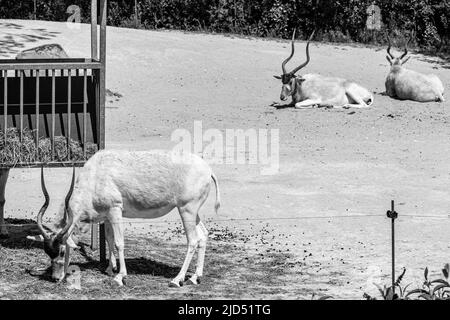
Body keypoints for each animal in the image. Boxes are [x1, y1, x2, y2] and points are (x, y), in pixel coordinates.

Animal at [27, 150, 221, 288]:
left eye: (61, 251)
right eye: (47, 252)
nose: (55, 278)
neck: (96, 174)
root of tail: (208, 170)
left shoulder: (115, 210)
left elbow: (119, 242)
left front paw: (120, 277)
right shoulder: (106, 215)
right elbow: (109, 239)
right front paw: (109, 269)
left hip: (186, 210)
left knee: (193, 240)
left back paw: (177, 280)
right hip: (192, 211)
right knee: (203, 234)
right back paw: (194, 278)